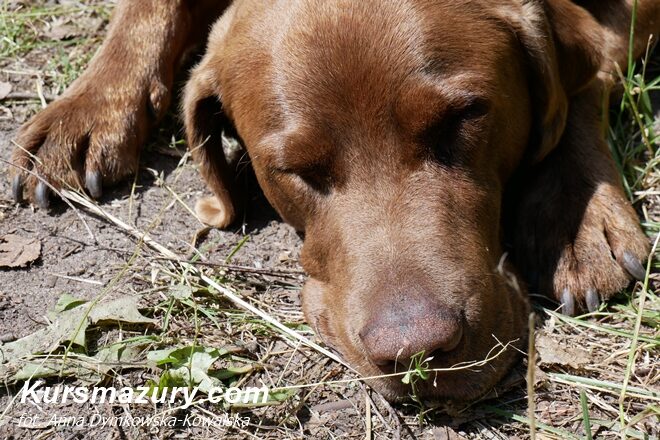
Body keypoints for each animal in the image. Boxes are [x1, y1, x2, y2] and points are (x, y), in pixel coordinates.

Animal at [9, 0, 656, 400]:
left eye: (464, 117)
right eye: (294, 169)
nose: (418, 353)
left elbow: (588, 75)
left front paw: (577, 217)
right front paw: (89, 105)